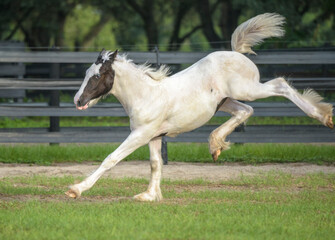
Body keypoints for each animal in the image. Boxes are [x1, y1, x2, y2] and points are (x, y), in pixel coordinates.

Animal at [65, 12, 334, 201]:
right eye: (87, 73)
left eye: (96, 76)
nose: (77, 101)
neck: (147, 95)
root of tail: (237, 53)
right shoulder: (154, 136)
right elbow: (155, 164)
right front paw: (149, 195)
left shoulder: (140, 134)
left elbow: (111, 159)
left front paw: (76, 189)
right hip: (225, 102)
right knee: (245, 111)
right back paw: (215, 146)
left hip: (248, 89)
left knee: (280, 85)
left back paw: (324, 116)